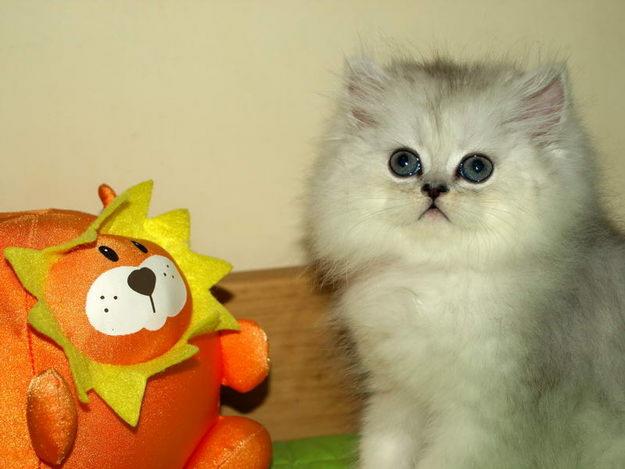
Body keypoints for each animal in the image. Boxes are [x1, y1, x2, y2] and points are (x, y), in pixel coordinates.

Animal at [304, 56, 624, 466]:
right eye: (403, 162)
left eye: (476, 168)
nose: (434, 189)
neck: (434, 278)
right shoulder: (395, 398)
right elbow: (382, 452)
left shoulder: (479, 422)